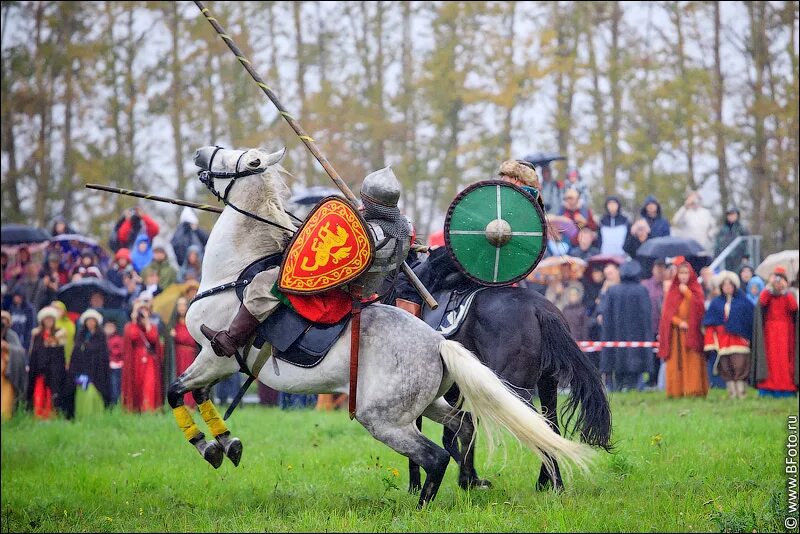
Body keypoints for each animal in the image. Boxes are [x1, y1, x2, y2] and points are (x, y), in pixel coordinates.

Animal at [169, 146, 592, 506]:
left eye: (248, 159)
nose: (201, 153)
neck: (235, 271)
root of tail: (439, 344)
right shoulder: (215, 365)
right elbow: (197, 393)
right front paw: (226, 442)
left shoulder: (216, 357)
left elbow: (177, 390)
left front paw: (210, 446)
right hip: (474, 394)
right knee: (475, 428)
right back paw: (517, 482)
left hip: (388, 415)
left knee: (442, 452)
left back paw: (432, 504)